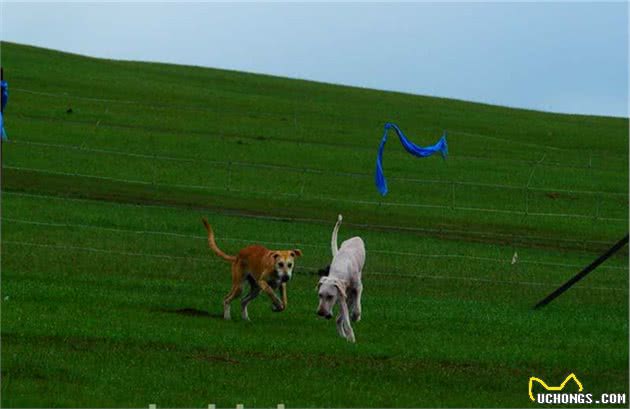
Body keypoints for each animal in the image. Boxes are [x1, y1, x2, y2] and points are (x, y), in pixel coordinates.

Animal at [316, 214, 366, 342]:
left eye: (330, 296)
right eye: (320, 295)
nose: (321, 313)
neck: (341, 267)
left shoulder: (357, 288)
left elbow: (357, 308)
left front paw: (355, 316)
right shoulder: (341, 296)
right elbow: (345, 319)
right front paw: (351, 338)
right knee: (339, 319)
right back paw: (344, 335)